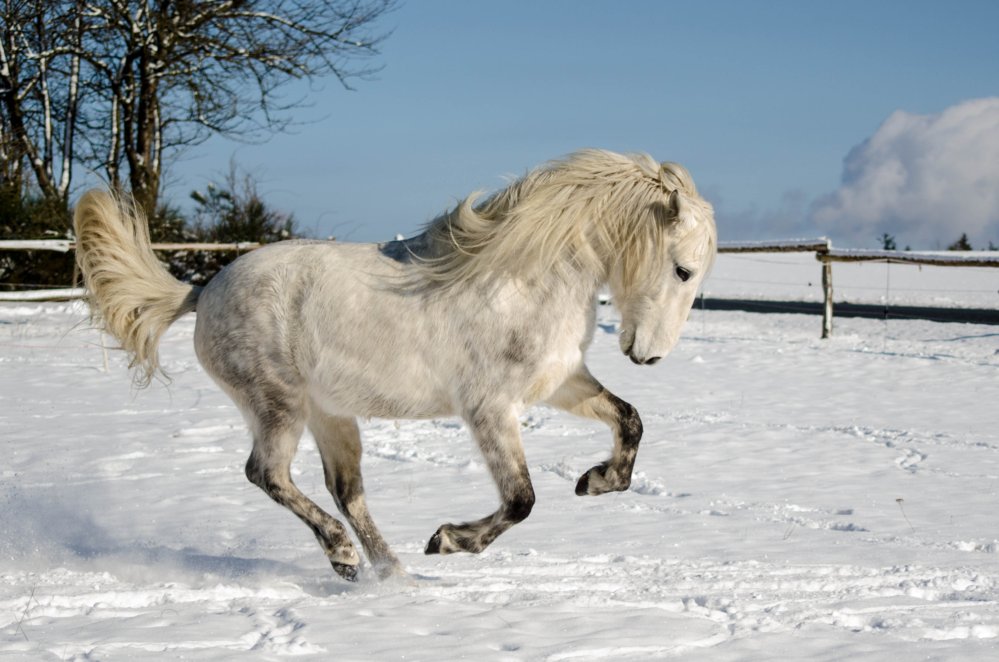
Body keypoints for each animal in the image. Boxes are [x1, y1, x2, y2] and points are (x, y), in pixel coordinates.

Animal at [76, 149, 720, 580]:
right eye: (683, 270)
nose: (649, 355)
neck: (522, 275)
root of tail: (202, 291)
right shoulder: (489, 410)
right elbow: (521, 499)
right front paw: (449, 541)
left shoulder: (560, 382)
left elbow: (631, 419)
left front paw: (597, 480)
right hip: (277, 406)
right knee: (268, 474)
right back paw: (344, 555)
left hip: (331, 416)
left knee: (346, 490)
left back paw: (390, 576)